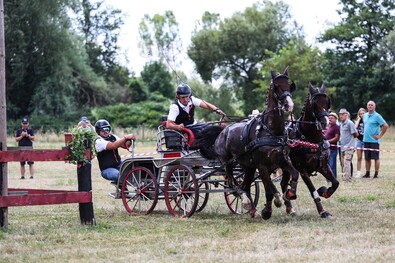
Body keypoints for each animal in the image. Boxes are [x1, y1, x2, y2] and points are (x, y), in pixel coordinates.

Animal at [196, 68, 302, 221]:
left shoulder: (283, 160)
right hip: (228, 163)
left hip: (248, 166)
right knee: (233, 183)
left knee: (245, 185)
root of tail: (223, 131)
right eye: (277, 86)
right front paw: (269, 209)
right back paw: (245, 201)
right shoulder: (262, 165)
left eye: (289, 85)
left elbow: (294, 174)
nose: (289, 105)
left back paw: (252, 210)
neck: (271, 130)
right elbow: (269, 188)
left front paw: (289, 194)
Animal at [284, 83, 340, 219]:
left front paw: (324, 191)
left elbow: (335, 183)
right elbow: (313, 190)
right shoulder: (302, 170)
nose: (325, 122)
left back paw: (289, 208)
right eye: (314, 103)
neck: (311, 140)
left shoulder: (323, 166)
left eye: (327, 102)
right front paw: (322, 211)